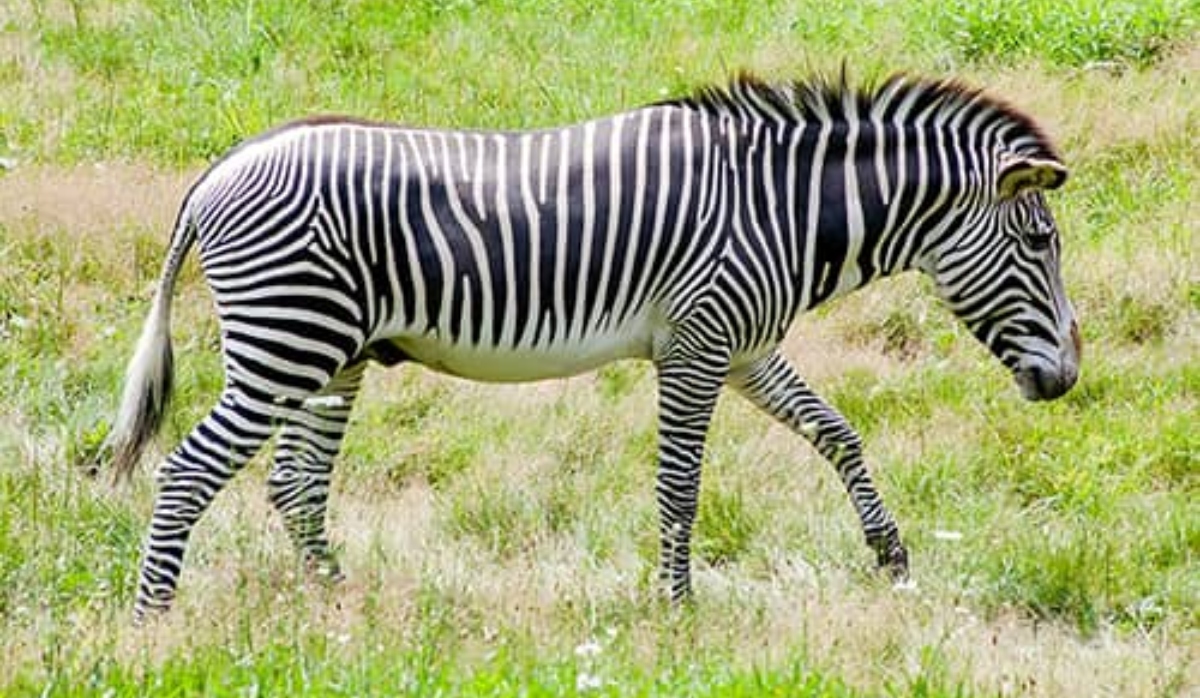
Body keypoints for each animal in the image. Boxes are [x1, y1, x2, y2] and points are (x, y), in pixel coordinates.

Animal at [105, 72, 1080, 623]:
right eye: (1042, 242)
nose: (1067, 381)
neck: (783, 211)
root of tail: (220, 170)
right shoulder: (697, 344)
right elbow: (681, 486)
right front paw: (679, 611)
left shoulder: (744, 347)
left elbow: (837, 433)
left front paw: (892, 558)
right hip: (288, 341)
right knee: (188, 472)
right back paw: (155, 623)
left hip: (331, 355)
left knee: (296, 483)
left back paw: (336, 603)